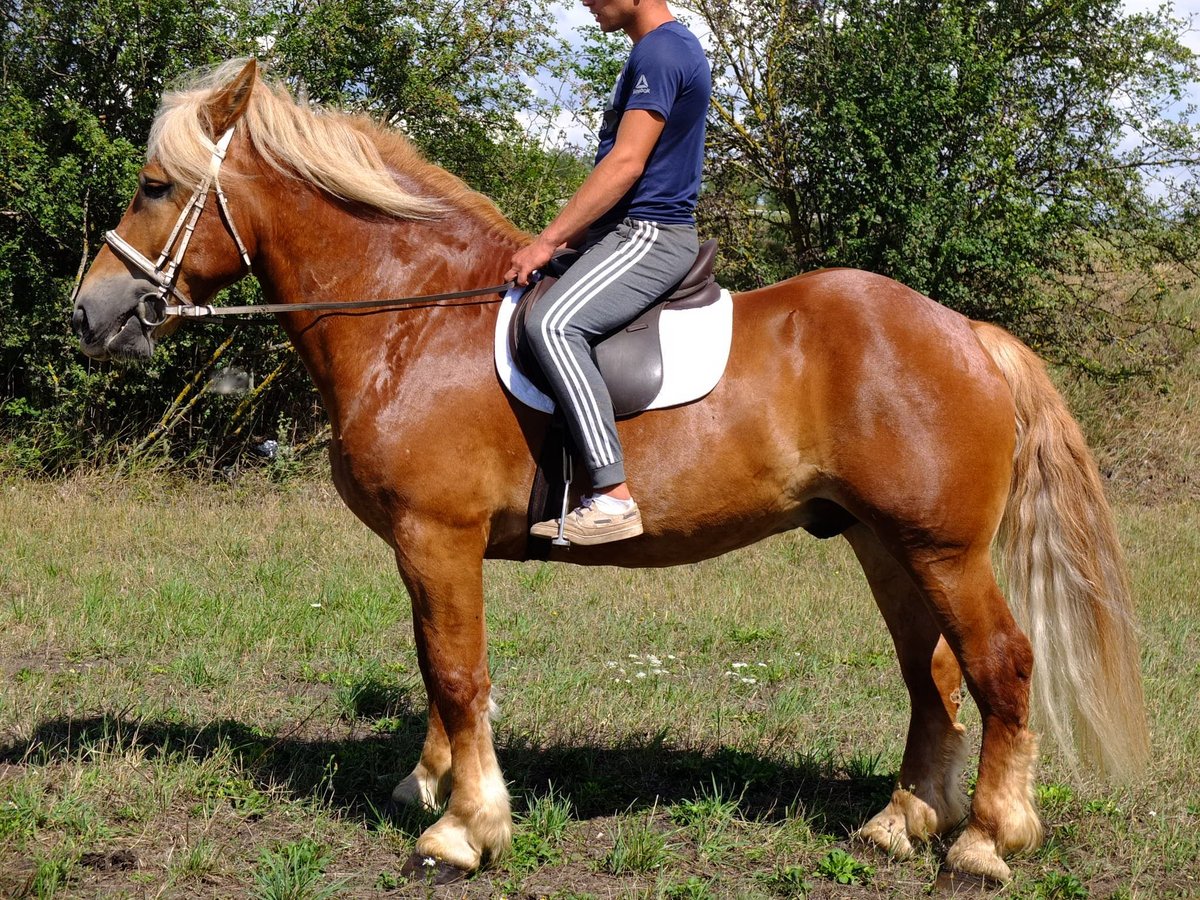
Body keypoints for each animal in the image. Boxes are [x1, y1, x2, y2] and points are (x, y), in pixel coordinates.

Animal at [70, 60, 1147, 883]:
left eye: (156, 186)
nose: (91, 312)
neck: (411, 316)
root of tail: (966, 332)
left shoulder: (437, 536)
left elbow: (457, 673)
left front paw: (463, 830)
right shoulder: (426, 550)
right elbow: (434, 668)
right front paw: (430, 784)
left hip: (942, 548)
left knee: (1000, 667)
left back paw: (985, 842)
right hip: (888, 547)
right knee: (932, 677)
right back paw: (898, 823)